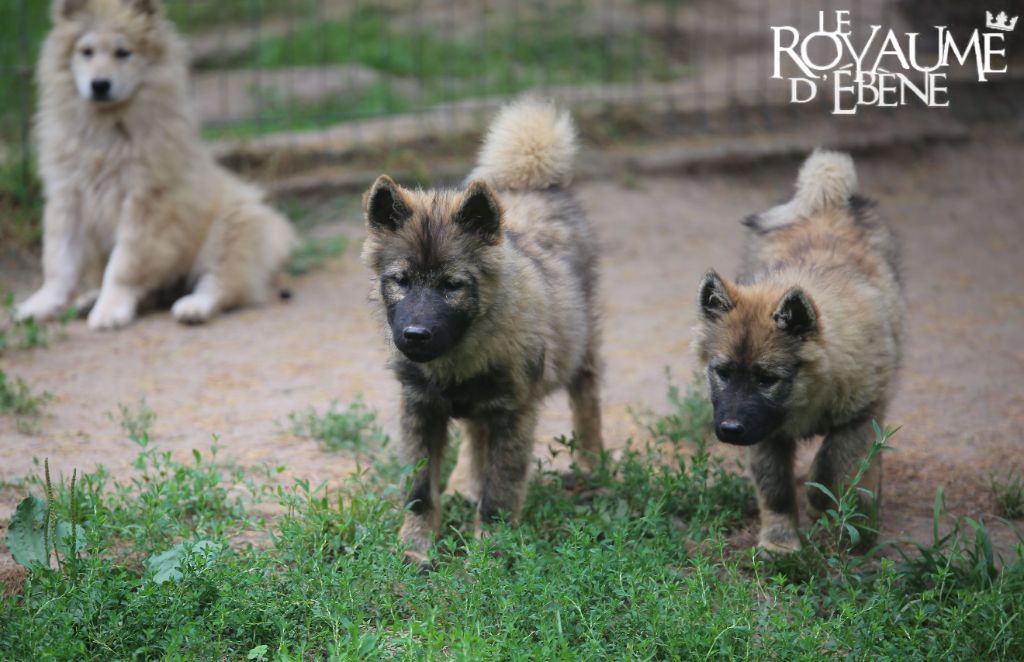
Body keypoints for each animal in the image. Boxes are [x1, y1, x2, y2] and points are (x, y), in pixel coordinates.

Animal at [16, 0, 295, 329]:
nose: (100, 85)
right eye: (86, 51)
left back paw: (193, 306)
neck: (107, 127)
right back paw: (89, 299)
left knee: (222, 283)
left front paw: (110, 309)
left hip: (233, 228)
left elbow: (123, 265)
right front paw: (40, 304)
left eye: (123, 53)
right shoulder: (68, 197)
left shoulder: (146, 202)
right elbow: (59, 262)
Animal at [361, 99, 604, 563]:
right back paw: (464, 484)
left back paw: (592, 466)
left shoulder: (514, 411)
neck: (457, 357)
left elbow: (500, 491)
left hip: (581, 348)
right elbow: (420, 491)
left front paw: (490, 551)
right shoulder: (420, 407)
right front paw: (415, 548)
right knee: (475, 436)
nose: (414, 335)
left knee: (587, 402)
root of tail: (531, 184)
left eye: (451, 285)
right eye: (400, 280)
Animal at [693, 150, 902, 553]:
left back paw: (864, 518)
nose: (729, 430)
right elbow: (774, 489)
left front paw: (821, 502)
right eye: (722, 373)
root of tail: (827, 199)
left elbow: (832, 462)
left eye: (767, 379)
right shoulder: (764, 434)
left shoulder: (860, 412)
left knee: (869, 459)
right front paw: (780, 544)